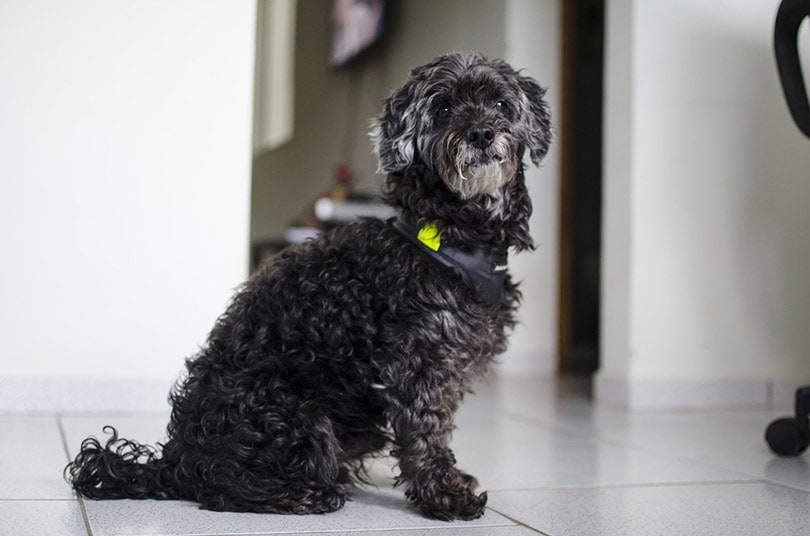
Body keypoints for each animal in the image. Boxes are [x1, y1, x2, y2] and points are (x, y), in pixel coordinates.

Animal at [66, 52, 548, 520]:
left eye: (501, 104)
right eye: (444, 108)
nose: (482, 132)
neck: (453, 234)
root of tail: (175, 456)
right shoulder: (419, 364)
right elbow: (426, 432)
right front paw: (444, 497)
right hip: (297, 416)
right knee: (218, 483)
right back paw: (303, 494)